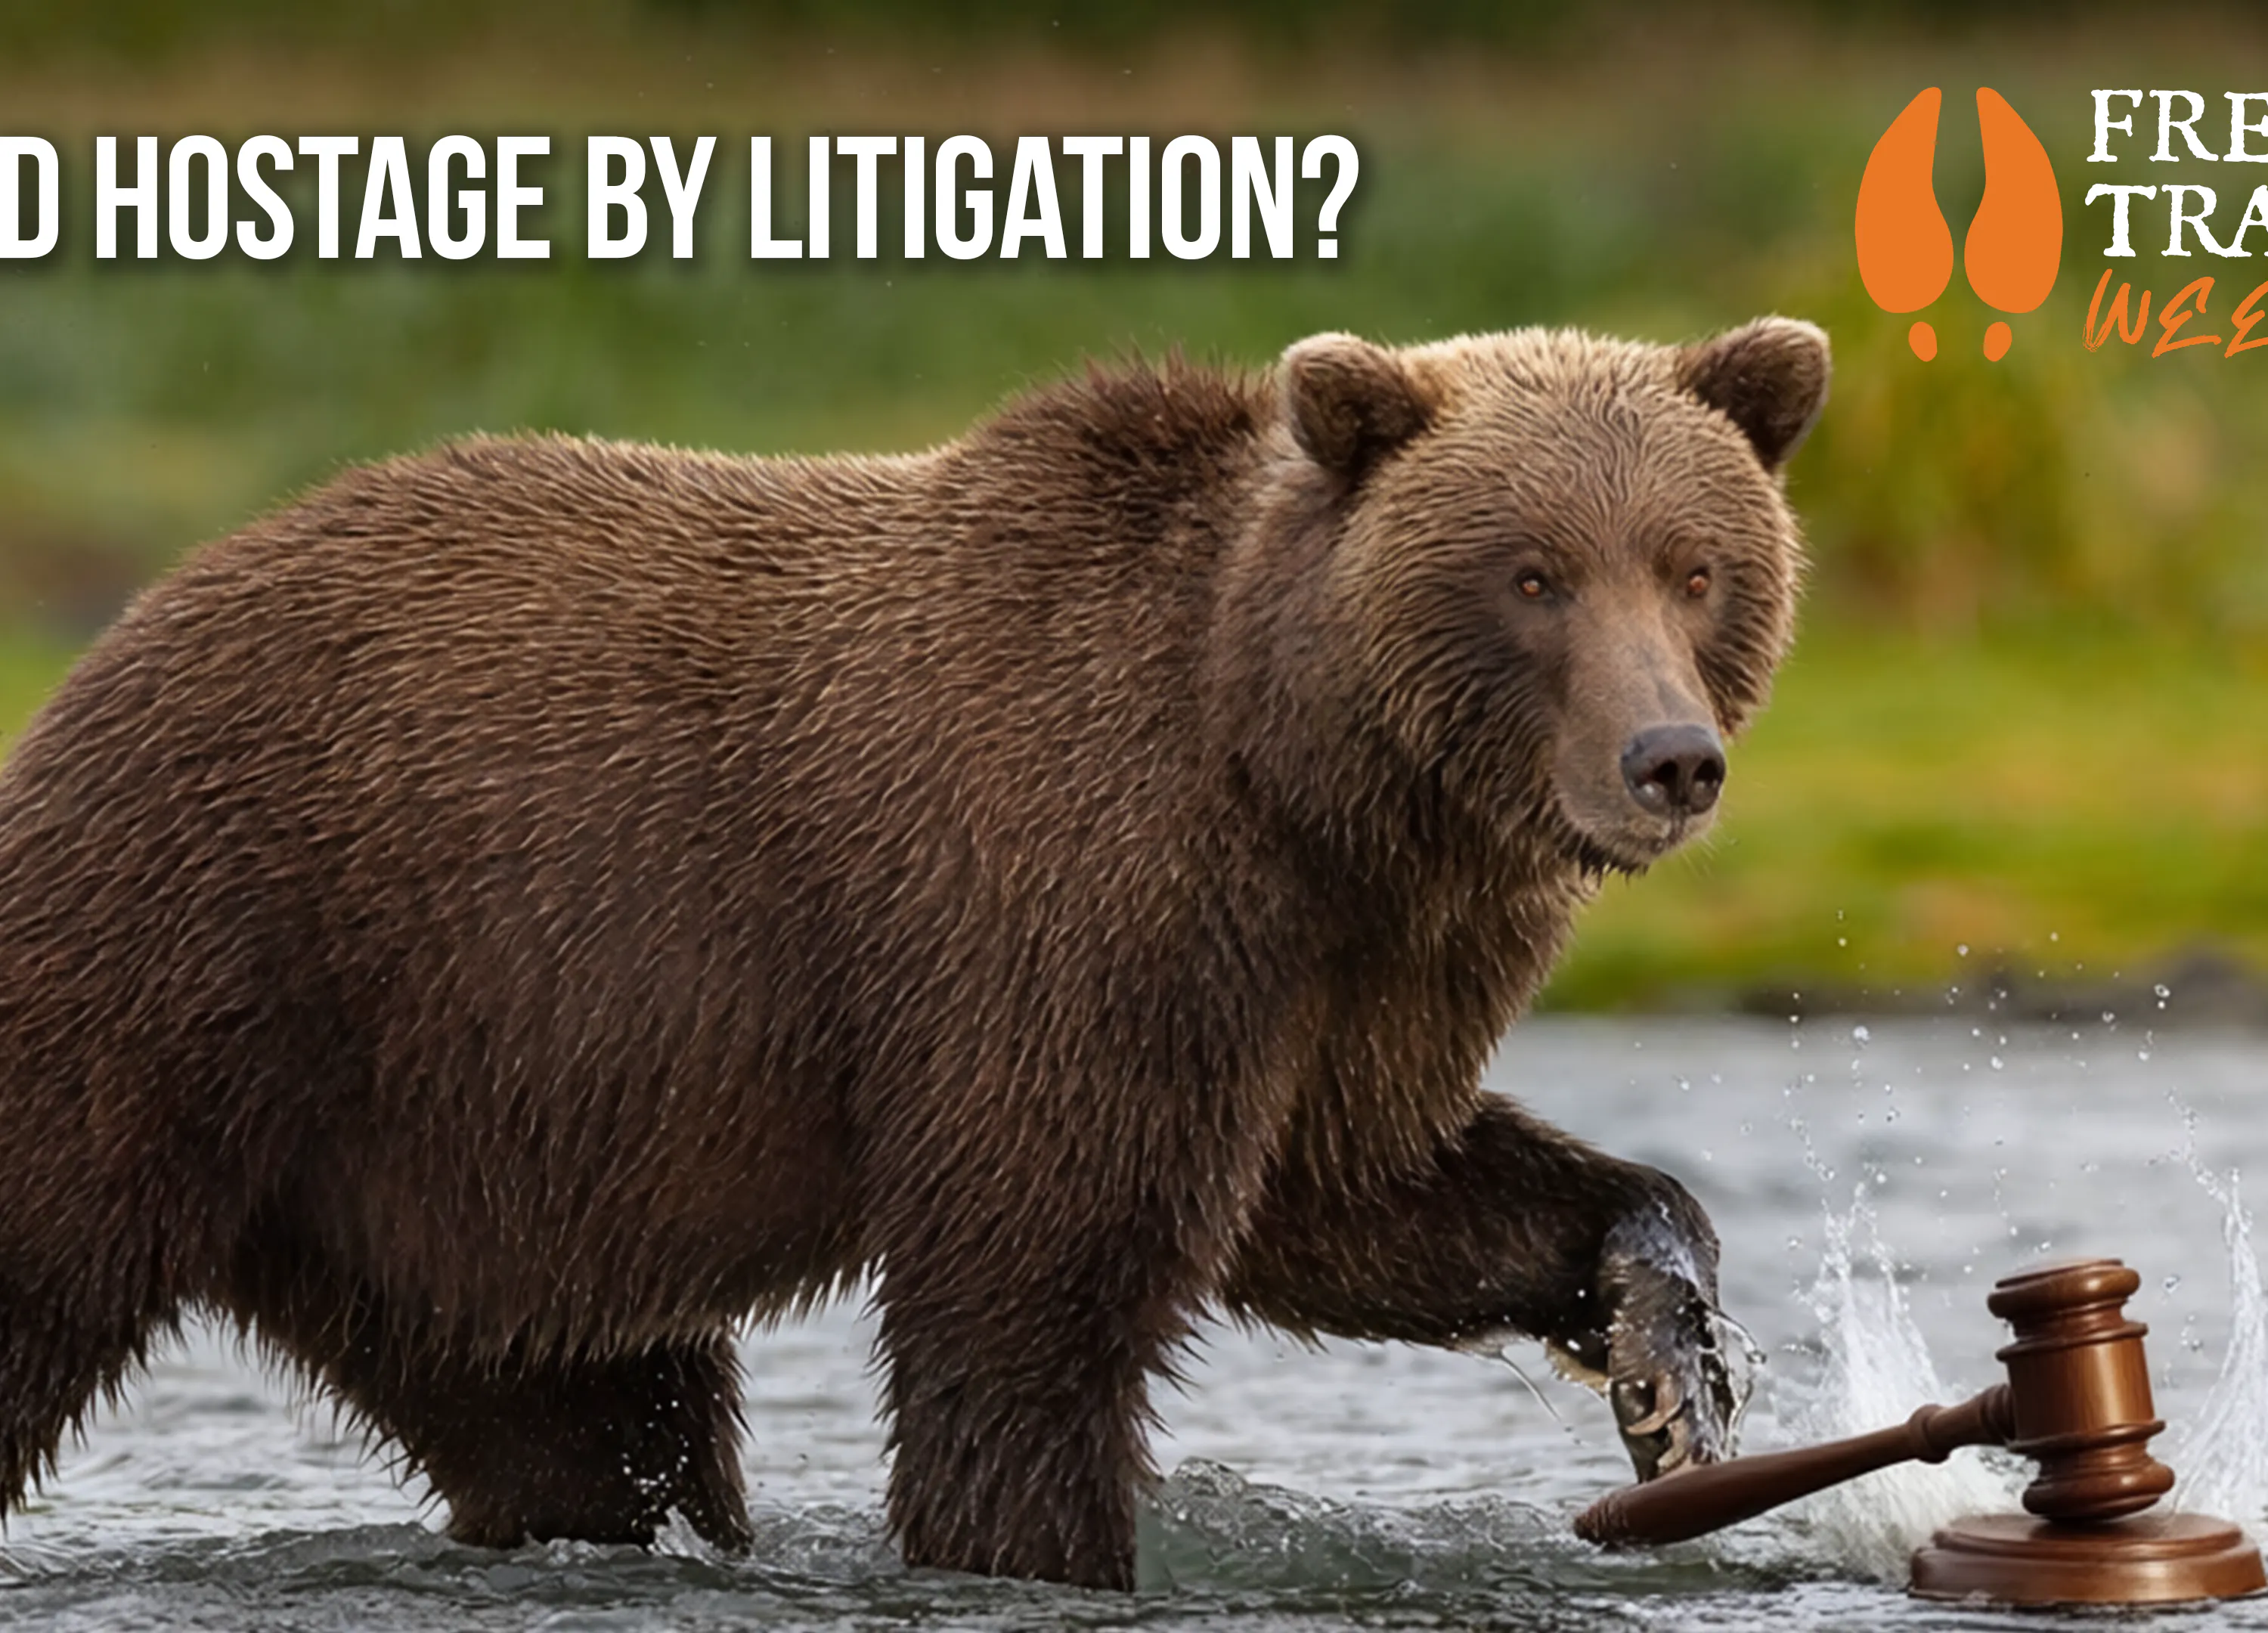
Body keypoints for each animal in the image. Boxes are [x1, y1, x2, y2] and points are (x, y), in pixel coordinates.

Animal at [0, 316, 1827, 1591]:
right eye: (1533, 574)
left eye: (1697, 566)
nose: (1668, 759)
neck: (1301, 778)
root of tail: (125, 633)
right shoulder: (1069, 902)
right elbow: (1038, 1286)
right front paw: (1039, 1544)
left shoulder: (1357, 976)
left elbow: (1357, 1196)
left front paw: (1670, 1364)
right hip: (220, 960)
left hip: (443, 1181)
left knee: (587, 1420)